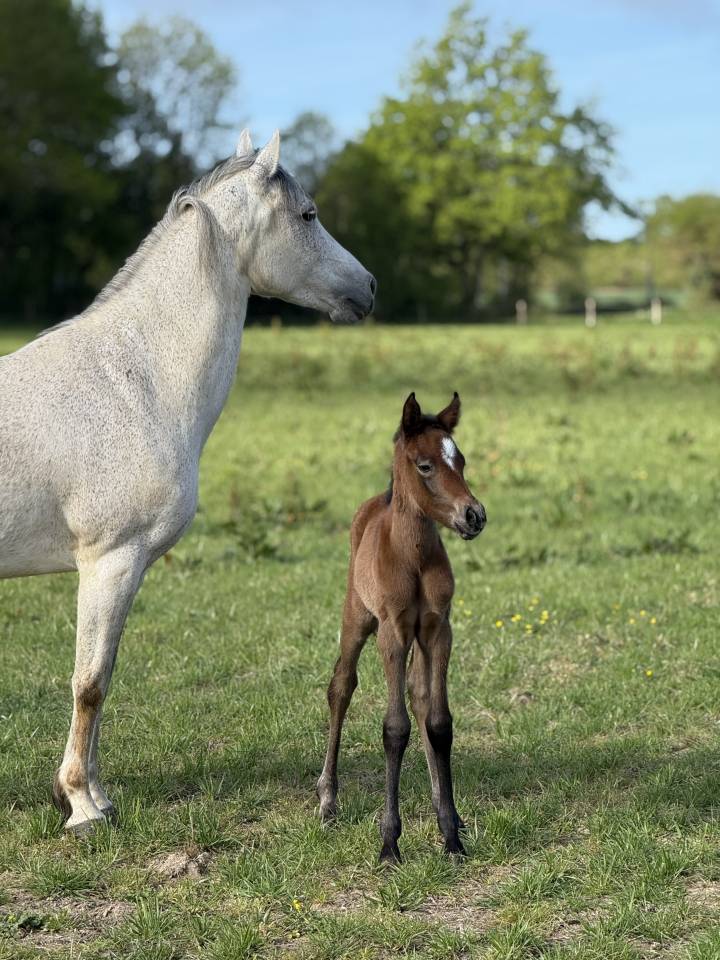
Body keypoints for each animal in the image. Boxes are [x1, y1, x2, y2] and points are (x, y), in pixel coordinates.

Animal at [0, 129, 375, 834]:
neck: (133, 378)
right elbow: (90, 682)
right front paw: (82, 805)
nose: (368, 287)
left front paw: (95, 794)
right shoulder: (110, 561)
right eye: (308, 214)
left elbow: (102, 675)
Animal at [317, 391, 486, 863]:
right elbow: (395, 729)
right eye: (425, 465)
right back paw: (327, 799)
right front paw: (390, 842)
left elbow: (438, 723)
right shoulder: (392, 632)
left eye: (460, 459)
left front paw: (451, 835)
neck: (413, 556)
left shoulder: (438, 629)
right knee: (341, 685)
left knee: (419, 695)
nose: (474, 515)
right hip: (357, 617)